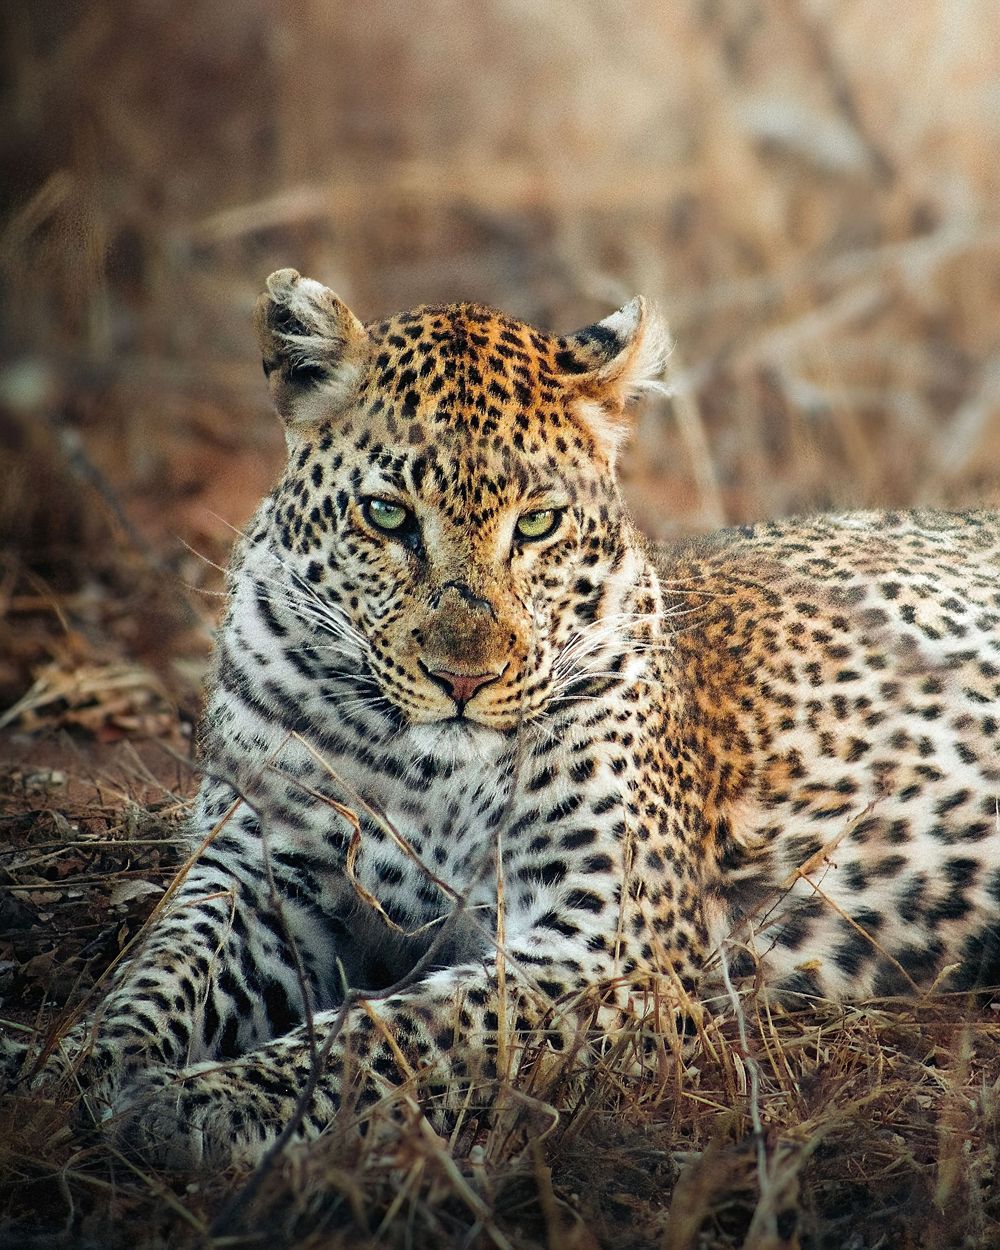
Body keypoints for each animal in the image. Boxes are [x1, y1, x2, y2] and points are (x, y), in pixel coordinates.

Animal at [5, 267, 1000, 1170]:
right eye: (386, 515)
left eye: (538, 525)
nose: (463, 677)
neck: (426, 770)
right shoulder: (254, 869)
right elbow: (159, 971)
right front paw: (73, 1073)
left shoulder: (610, 948)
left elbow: (404, 1030)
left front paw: (207, 1102)